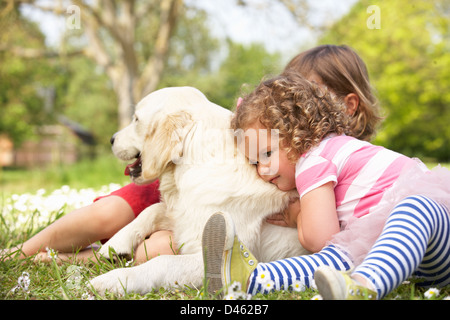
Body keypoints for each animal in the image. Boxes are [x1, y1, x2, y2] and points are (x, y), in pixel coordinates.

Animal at [89, 85, 308, 296]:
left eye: (136, 119)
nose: (112, 139)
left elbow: (163, 261)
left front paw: (114, 279)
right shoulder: (184, 215)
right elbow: (151, 210)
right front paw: (114, 245)